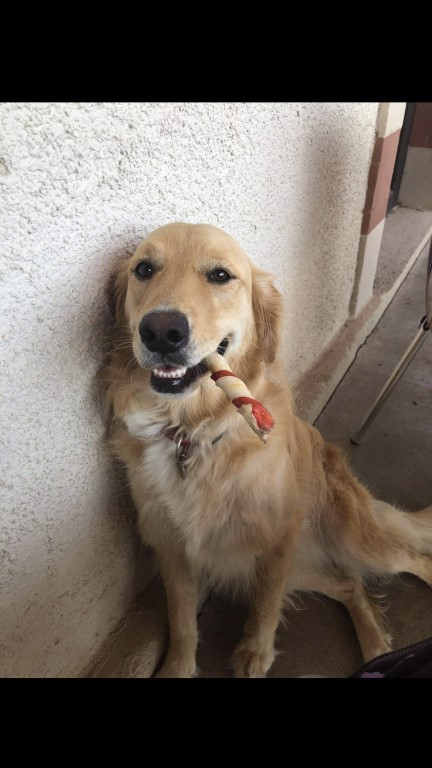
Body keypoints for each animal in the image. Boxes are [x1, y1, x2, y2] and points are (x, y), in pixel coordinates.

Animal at [100, 222, 432, 680]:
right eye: (144, 269)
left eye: (220, 275)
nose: (162, 330)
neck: (195, 432)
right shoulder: (172, 549)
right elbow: (182, 621)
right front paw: (177, 668)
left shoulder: (279, 540)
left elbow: (266, 604)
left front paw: (255, 651)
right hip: (308, 566)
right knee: (350, 584)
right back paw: (376, 648)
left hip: (356, 539)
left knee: (415, 560)